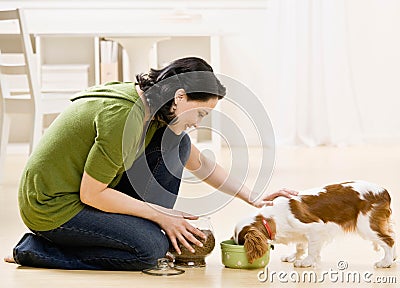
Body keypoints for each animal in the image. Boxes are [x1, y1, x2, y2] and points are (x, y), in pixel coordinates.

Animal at [233, 181, 396, 268]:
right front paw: (294, 257)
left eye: (241, 243)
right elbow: (300, 246)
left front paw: (306, 262)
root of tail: (384, 191)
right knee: (392, 236)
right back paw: (393, 258)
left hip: (366, 226)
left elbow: (311, 249)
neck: (271, 219)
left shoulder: (315, 229)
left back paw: (385, 262)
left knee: (389, 240)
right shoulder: (302, 233)